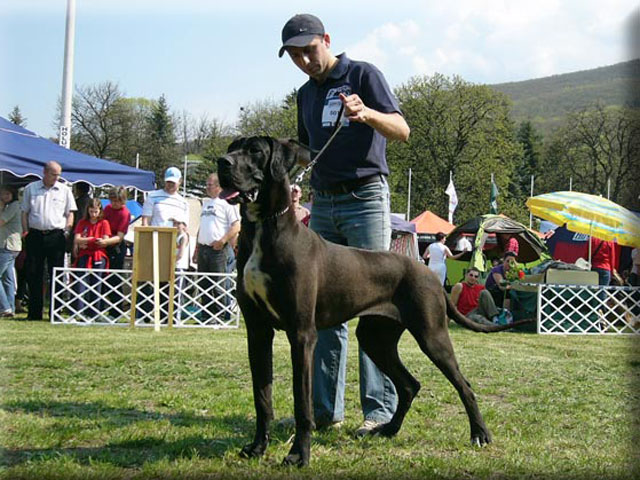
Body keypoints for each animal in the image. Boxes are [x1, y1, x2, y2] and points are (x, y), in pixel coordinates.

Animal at [217, 136, 529, 466]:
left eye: (255, 151)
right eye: (233, 147)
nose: (222, 163)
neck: (264, 227)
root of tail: (429, 273)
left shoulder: (301, 334)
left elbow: (302, 404)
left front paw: (299, 454)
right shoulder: (258, 331)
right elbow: (261, 397)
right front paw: (257, 448)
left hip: (432, 336)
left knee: (463, 385)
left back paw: (479, 434)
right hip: (375, 337)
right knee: (409, 385)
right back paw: (389, 429)